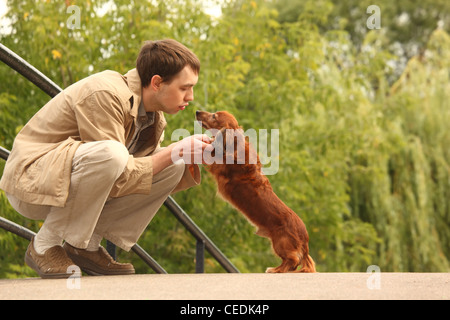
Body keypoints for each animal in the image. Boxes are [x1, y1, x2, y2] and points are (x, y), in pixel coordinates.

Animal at [197, 110, 316, 272]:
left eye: (214, 116)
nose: (197, 111)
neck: (235, 146)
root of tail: (305, 237)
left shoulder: (218, 165)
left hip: (280, 243)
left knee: (293, 260)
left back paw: (275, 270)